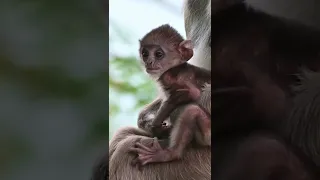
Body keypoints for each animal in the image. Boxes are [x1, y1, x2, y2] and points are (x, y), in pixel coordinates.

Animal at [130, 24, 212, 167]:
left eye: (158, 54)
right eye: (145, 54)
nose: (149, 62)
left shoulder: (169, 77)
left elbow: (193, 93)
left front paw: (156, 128)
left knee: (191, 111)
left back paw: (168, 154)